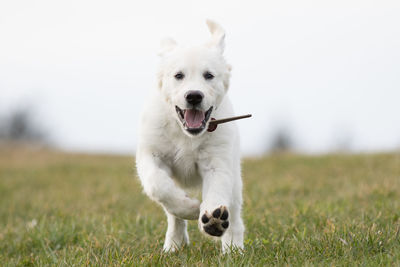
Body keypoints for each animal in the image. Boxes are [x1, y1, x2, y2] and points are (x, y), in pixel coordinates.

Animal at [137, 20, 244, 253]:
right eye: (179, 75)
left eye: (209, 75)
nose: (194, 96)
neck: (185, 134)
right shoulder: (150, 155)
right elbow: (158, 186)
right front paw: (192, 207)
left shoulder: (217, 162)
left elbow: (216, 192)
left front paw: (212, 218)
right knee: (172, 214)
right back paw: (174, 245)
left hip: (235, 174)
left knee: (234, 212)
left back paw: (233, 248)